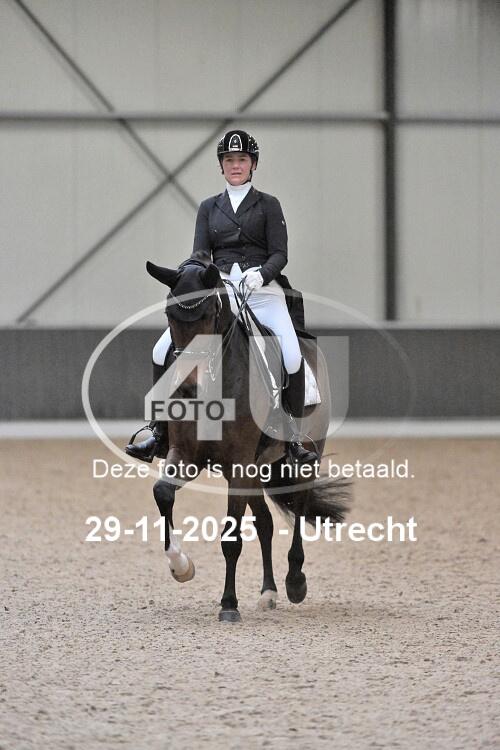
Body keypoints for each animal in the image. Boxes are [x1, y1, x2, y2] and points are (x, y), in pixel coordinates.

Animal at [146, 252, 350, 622]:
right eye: (170, 315)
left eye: (208, 314)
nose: (186, 388)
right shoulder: (185, 455)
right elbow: (163, 493)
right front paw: (181, 567)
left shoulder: (237, 466)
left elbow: (232, 539)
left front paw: (229, 605)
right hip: (257, 468)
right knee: (266, 522)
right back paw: (268, 592)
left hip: (302, 457)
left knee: (299, 511)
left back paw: (294, 582)